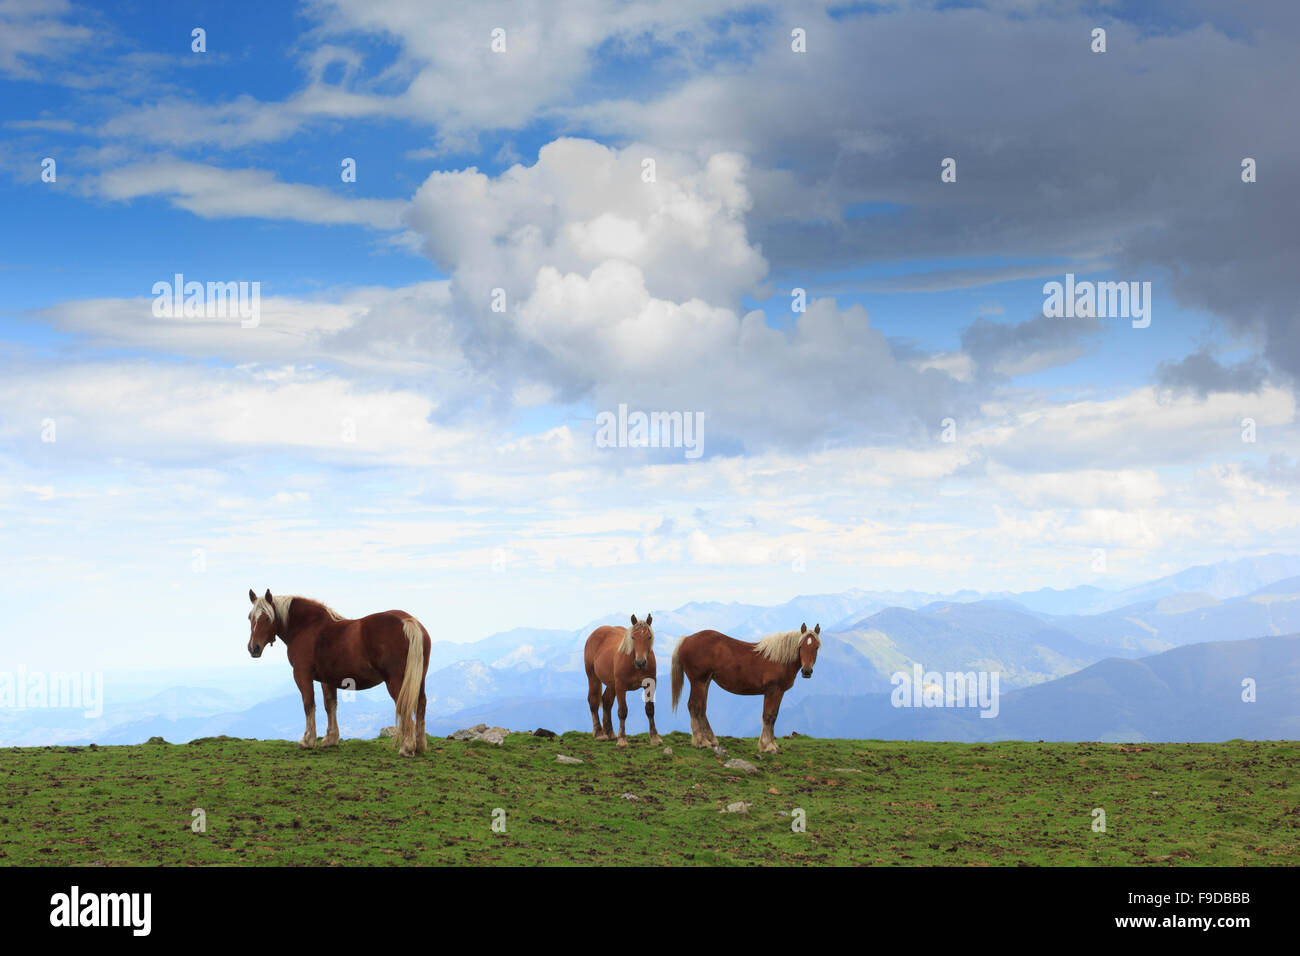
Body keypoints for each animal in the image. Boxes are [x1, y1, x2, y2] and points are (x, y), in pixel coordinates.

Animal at [248, 587, 436, 759]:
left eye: (267, 618)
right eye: (250, 617)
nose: (253, 648)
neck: (307, 627)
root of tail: (408, 620)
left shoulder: (302, 674)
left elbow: (309, 704)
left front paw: (307, 740)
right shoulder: (327, 679)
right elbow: (330, 705)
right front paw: (330, 739)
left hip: (396, 681)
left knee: (405, 706)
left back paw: (407, 748)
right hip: (419, 679)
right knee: (421, 705)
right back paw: (420, 746)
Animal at [587, 621, 665, 749]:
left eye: (649, 637)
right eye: (633, 637)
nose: (640, 662)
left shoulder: (650, 685)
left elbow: (650, 709)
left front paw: (655, 738)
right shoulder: (620, 687)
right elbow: (622, 711)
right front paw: (622, 740)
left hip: (611, 684)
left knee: (607, 701)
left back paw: (610, 733)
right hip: (593, 678)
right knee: (593, 701)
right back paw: (599, 733)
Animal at [670, 629, 821, 754]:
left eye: (816, 647)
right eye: (801, 646)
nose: (807, 671)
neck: (779, 659)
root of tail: (686, 639)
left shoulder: (779, 692)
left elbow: (773, 716)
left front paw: (772, 745)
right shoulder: (773, 691)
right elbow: (768, 716)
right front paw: (767, 746)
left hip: (706, 682)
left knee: (701, 708)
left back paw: (711, 740)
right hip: (698, 682)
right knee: (694, 706)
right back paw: (701, 742)